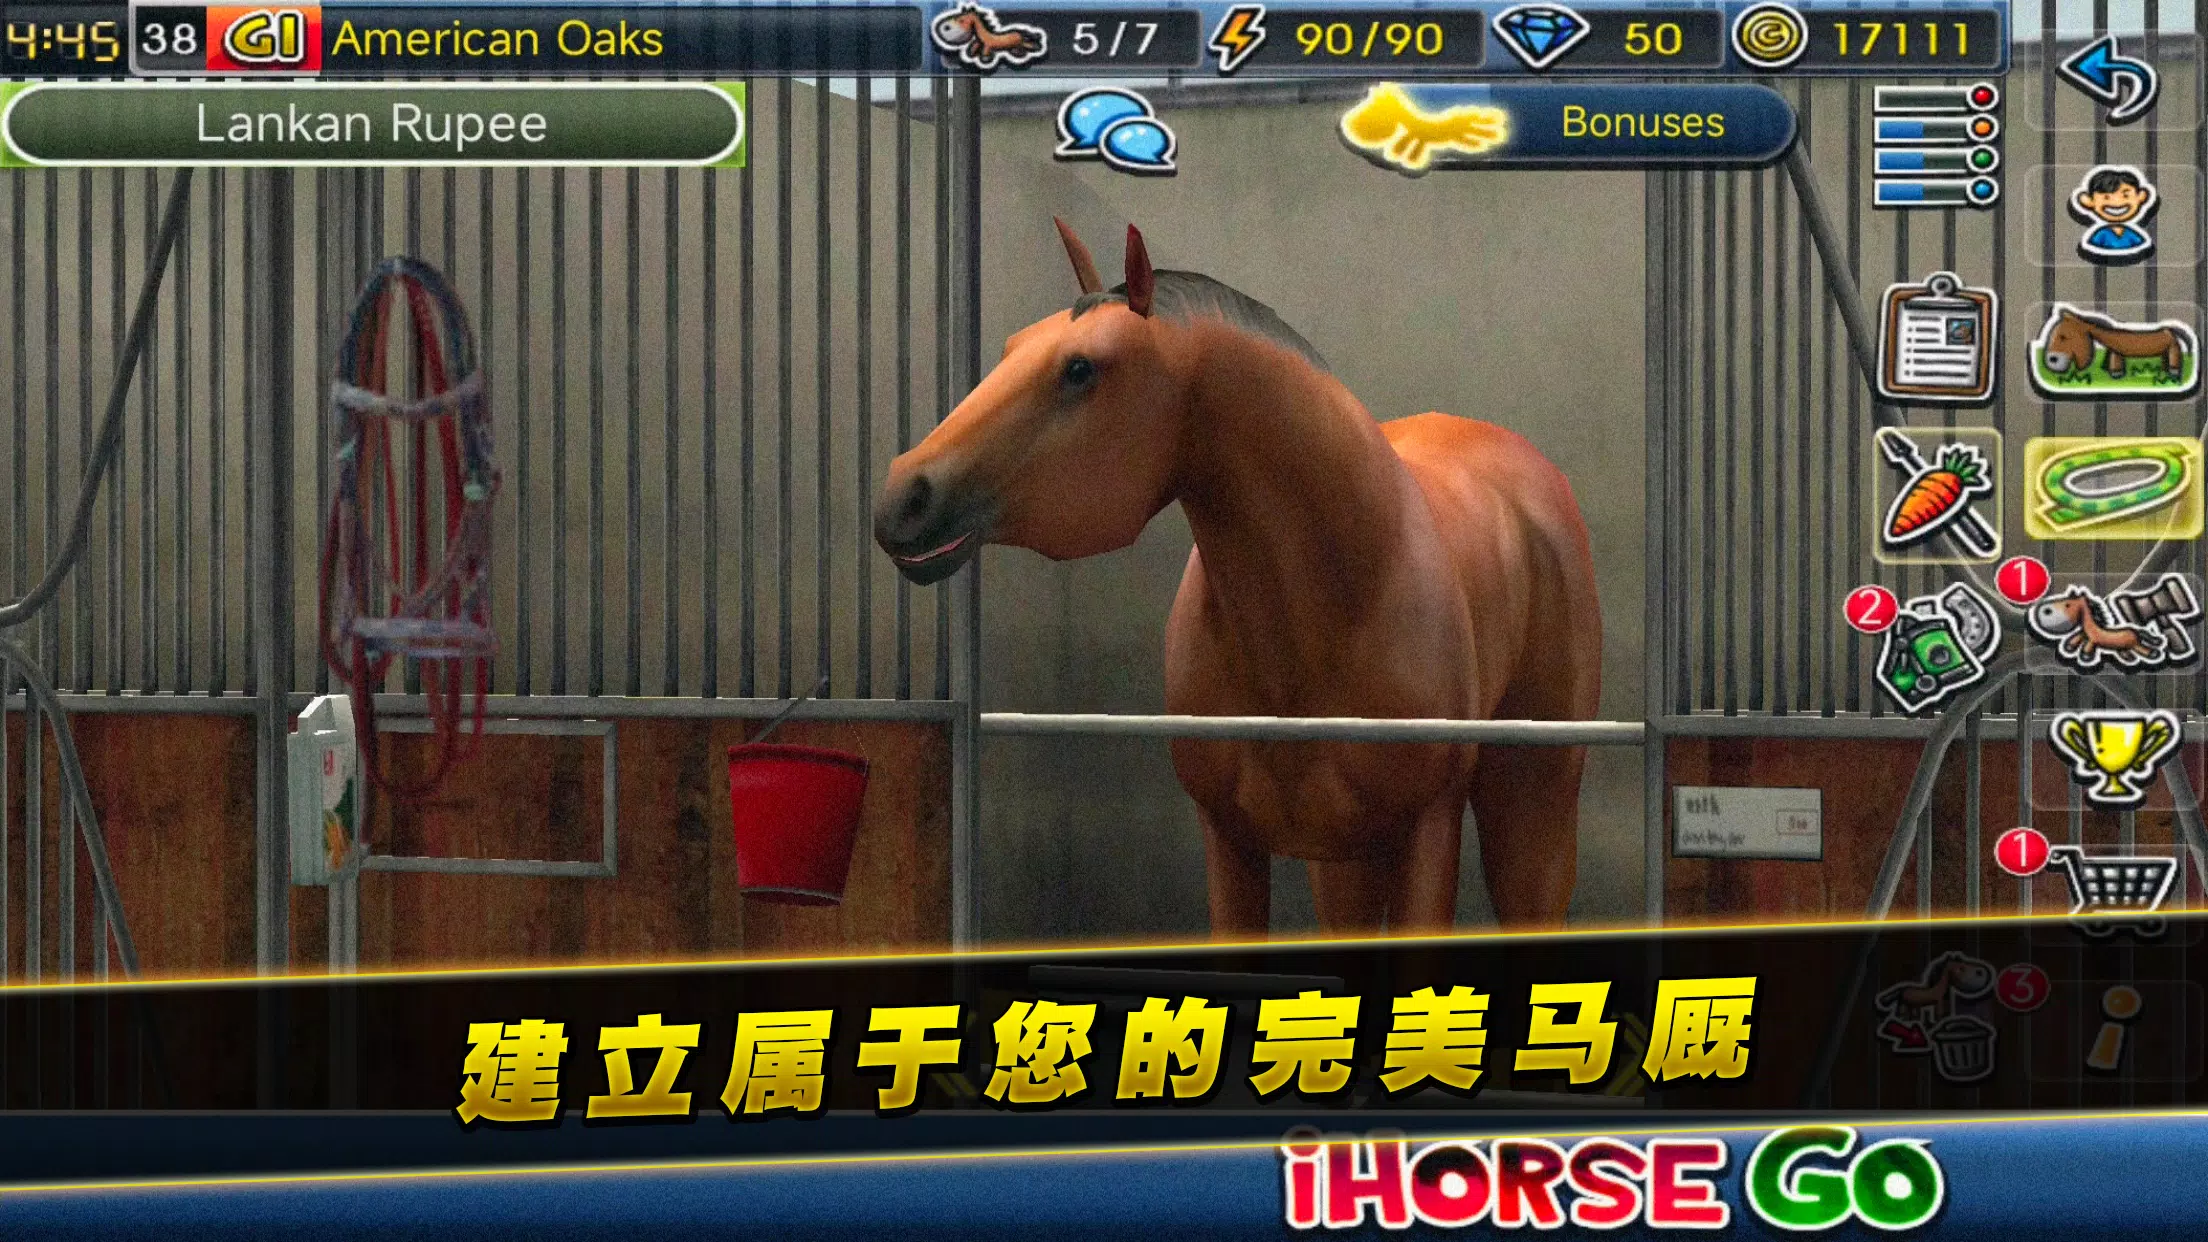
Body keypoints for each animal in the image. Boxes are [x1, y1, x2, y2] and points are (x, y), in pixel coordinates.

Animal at [873, 221, 1602, 935]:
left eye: (1080, 369)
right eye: (1010, 348)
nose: (901, 499)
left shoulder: (1430, 827)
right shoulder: (1230, 839)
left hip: (1529, 812)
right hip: (1349, 858)